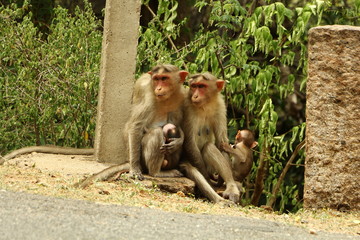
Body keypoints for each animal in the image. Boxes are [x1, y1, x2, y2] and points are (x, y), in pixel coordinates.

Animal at [183, 71, 239, 202]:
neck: (205, 105)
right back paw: (219, 199)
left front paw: (222, 180)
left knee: (210, 147)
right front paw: (208, 179)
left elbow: (221, 142)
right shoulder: (187, 108)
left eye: (202, 86)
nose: (195, 96)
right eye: (194, 86)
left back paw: (231, 187)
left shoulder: (220, 107)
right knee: (193, 169)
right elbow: (189, 142)